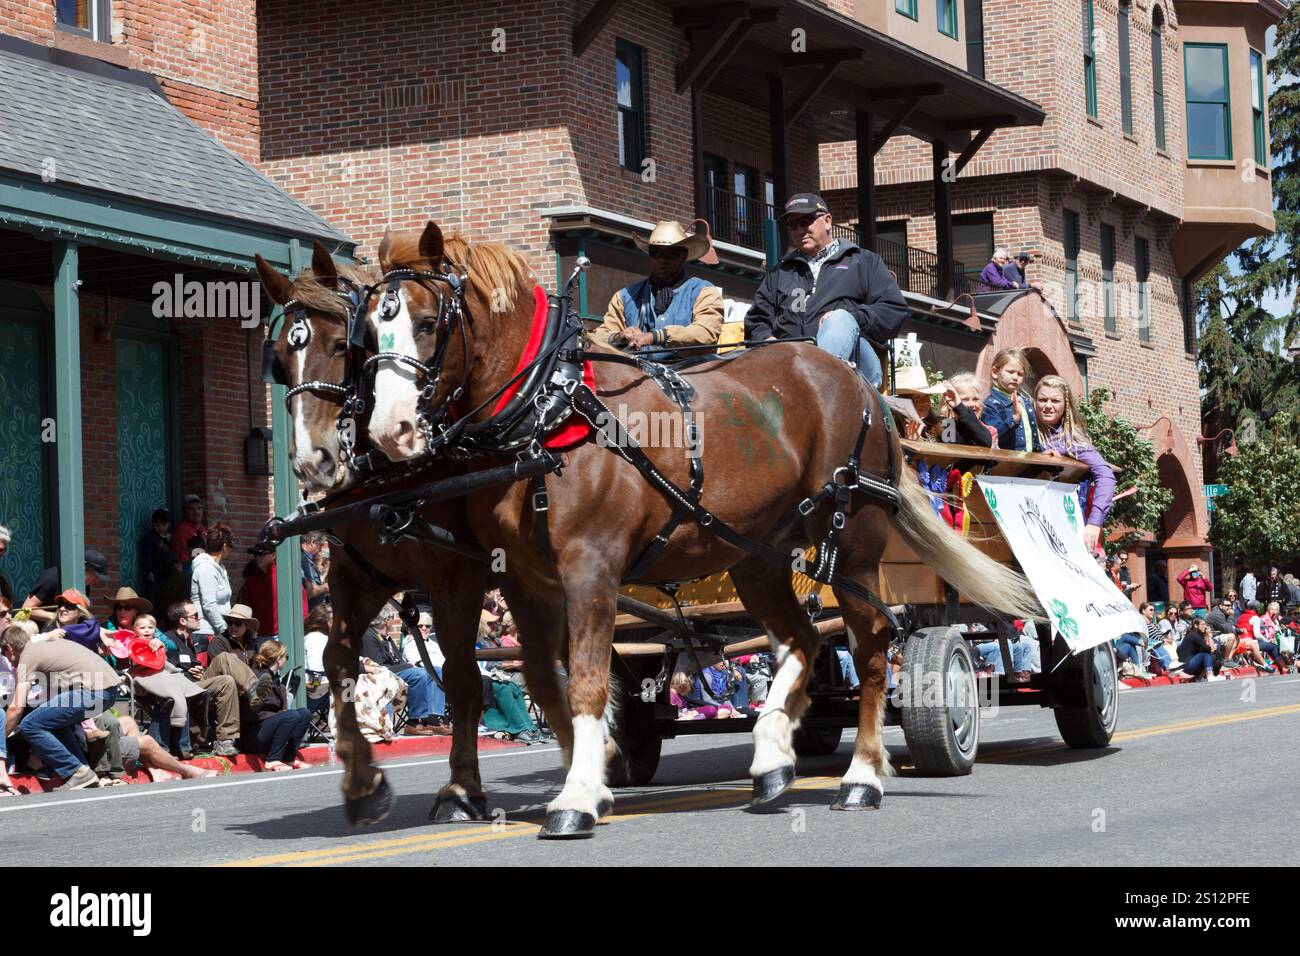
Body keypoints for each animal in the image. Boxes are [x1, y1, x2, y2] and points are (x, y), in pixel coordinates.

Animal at [253, 251, 574, 827]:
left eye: (342, 346)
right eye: (280, 360)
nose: (313, 461)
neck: (389, 476)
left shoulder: (455, 579)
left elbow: (464, 680)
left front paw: (461, 790)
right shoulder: (357, 575)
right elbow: (337, 663)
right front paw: (363, 783)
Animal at [364, 223, 1034, 837]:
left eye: (428, 321)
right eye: (370, 328)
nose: (389, 432)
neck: (548, 413)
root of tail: (864, 387)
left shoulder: (591, 568)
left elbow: (584, 681)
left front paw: (576, 799)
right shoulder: (526, 580)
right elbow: (546, 682)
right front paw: (598, 772)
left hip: (855, 548)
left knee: (870, 647)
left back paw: (863, 778)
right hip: (758, 557)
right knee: (802, 640)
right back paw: (772, 758)